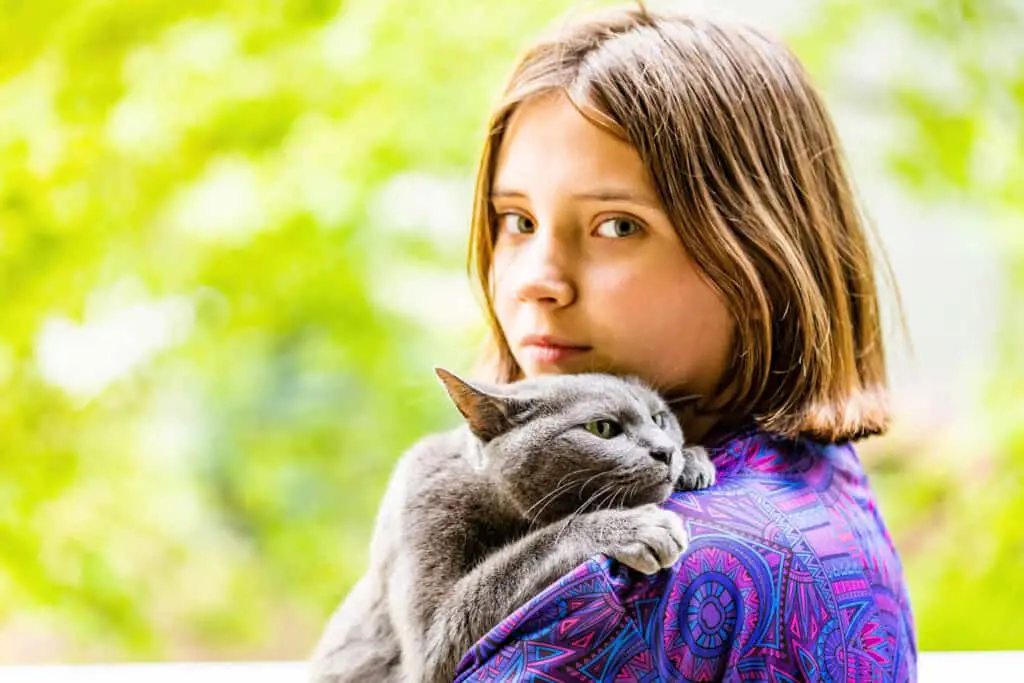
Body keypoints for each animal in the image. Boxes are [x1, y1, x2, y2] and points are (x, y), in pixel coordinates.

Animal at [307, 368, 716, 683]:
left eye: (659, 418)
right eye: (602, 428)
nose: (666, 451)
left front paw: (694, 462)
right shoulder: (425, 522)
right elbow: (538, 544)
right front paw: (630, 526)